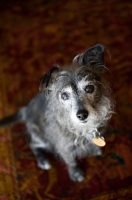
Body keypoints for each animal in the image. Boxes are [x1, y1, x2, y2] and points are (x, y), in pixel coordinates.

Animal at [0, 44, 113, 182]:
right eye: (64, 95)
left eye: (89, 88)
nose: (82, 115)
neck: (83, 128)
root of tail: (26, 110)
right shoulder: (64, 147)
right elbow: (71, 161)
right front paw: (76, 173)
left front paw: (95, 149)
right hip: (42, 138)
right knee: (32, 144)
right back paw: (43, 161)